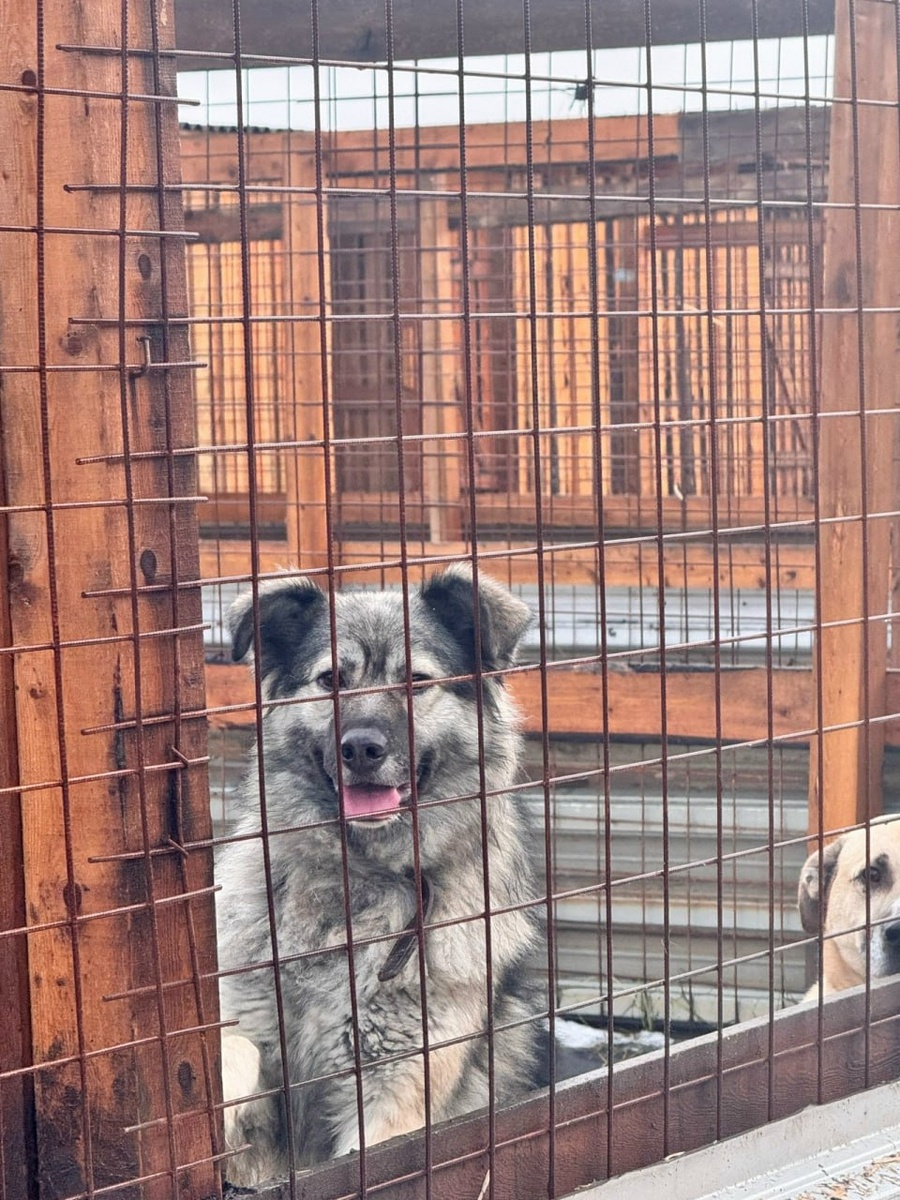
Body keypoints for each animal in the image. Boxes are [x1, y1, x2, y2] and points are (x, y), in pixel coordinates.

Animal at [216, 566, 545, 1185]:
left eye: (416, 681)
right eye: (331, 681)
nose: (362, 749)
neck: (358, 884)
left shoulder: (397, 1093)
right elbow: (235, 1053)